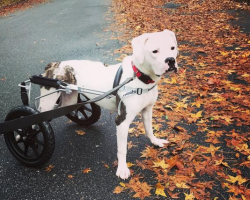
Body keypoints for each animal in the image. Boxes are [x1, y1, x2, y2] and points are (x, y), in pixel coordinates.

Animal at [38, 29, 178, 180]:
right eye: (154, 51)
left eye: (172, 48)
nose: (171, 60)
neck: (140, 77)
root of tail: (54, 64)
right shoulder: (122, 121)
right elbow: (122, 149)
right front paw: (122, 168)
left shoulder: (147, 110)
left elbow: (149, 129)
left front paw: (155, 141)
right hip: (47, 101)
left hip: (70, 98)